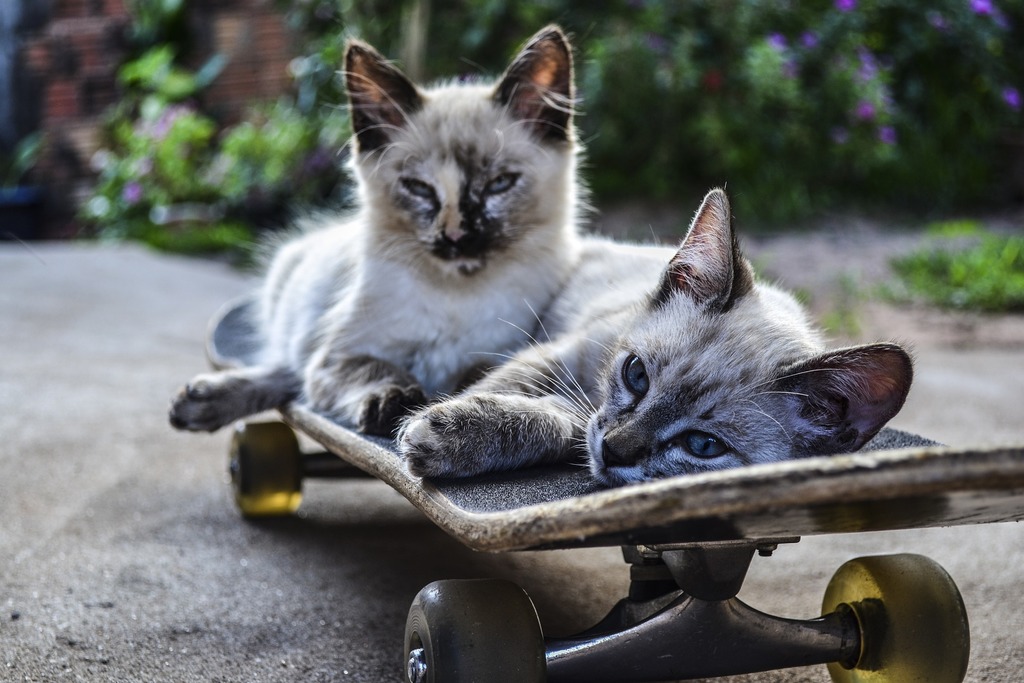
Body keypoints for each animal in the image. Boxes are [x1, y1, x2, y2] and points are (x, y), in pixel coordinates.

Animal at [168, 25, 585, 438]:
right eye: (419, 188)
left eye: (499, 184)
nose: (454, 237)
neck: (456, 297)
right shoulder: (337, 357)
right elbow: (377, 369)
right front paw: (396, 405)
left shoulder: (504, 348)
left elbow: (481, 373)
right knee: (290, 371)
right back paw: (198, 402)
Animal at [397, 187, 913, 485]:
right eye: (637, 376)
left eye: (703, 446)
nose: (612, 450)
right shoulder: (562, 353)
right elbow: (509, 388)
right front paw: (447, 425)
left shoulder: (583, 415)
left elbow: (563, 422)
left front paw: (449, 436)